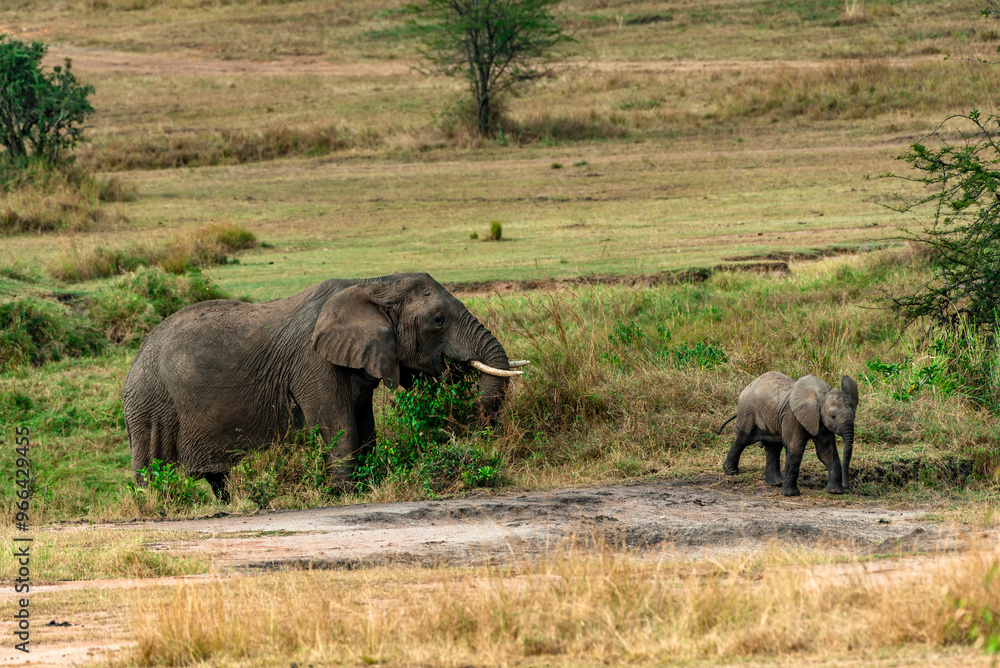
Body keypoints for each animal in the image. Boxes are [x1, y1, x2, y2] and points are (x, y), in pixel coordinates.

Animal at [122, 272, 527, 501]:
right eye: (438, 320)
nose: (486, 432)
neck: (373, 284)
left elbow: (364, 427)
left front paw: (367, 488)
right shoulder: (312, 363)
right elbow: (339, 426)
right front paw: (347, 496)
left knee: (218, 477)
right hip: (151, 404)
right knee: (153, 467)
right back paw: (157, 506)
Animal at [716, 372, 859, 497]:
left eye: (854, 416)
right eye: (833, 416)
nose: (847, 486)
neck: (821, 396)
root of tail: (750, 384)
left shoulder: (820, 421)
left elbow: (826, 452)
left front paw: (835, 491)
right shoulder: (792, 416)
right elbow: (795, 449)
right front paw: (791, 495)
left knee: (773, 447)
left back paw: (776, 483)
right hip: (747, 410)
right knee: (743, 439)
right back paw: (730, 471)